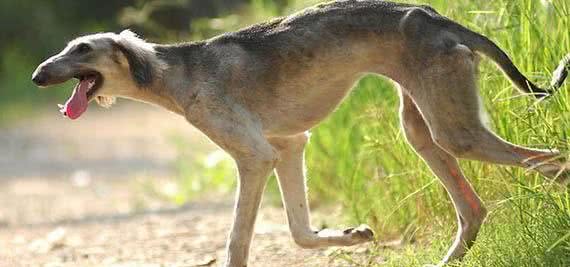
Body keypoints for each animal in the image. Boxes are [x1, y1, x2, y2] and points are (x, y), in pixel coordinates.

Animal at [31, 1, 568, 266]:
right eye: (67, 47)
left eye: (82, 49)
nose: (37, 75)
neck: (176, 71)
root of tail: (437, 17)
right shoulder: (289, 147)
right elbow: (299, 230)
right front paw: (351, 235)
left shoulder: (255, 157)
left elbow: (238, 243)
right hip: (423, 129)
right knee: (473, 209)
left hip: (454, 130)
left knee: (554, 161)